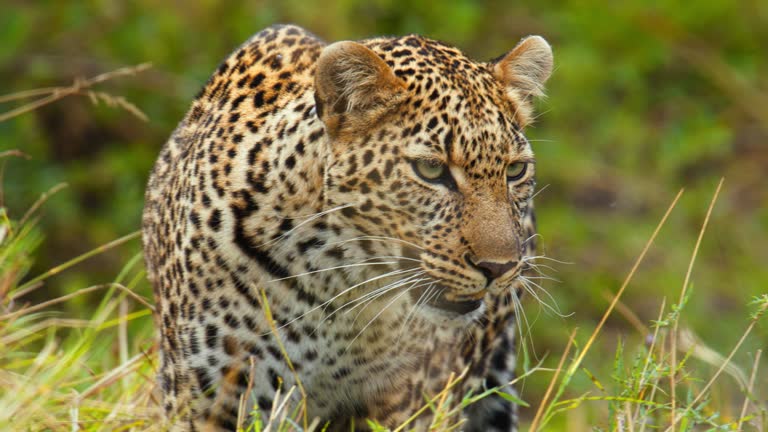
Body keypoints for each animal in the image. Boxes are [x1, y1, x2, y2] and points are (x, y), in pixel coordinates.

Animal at [142, 24, 552, 432]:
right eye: (431, 170)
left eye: (515, 170)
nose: (498, 268)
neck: (339, 286)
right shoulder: (209, 401)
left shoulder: (406, 402)